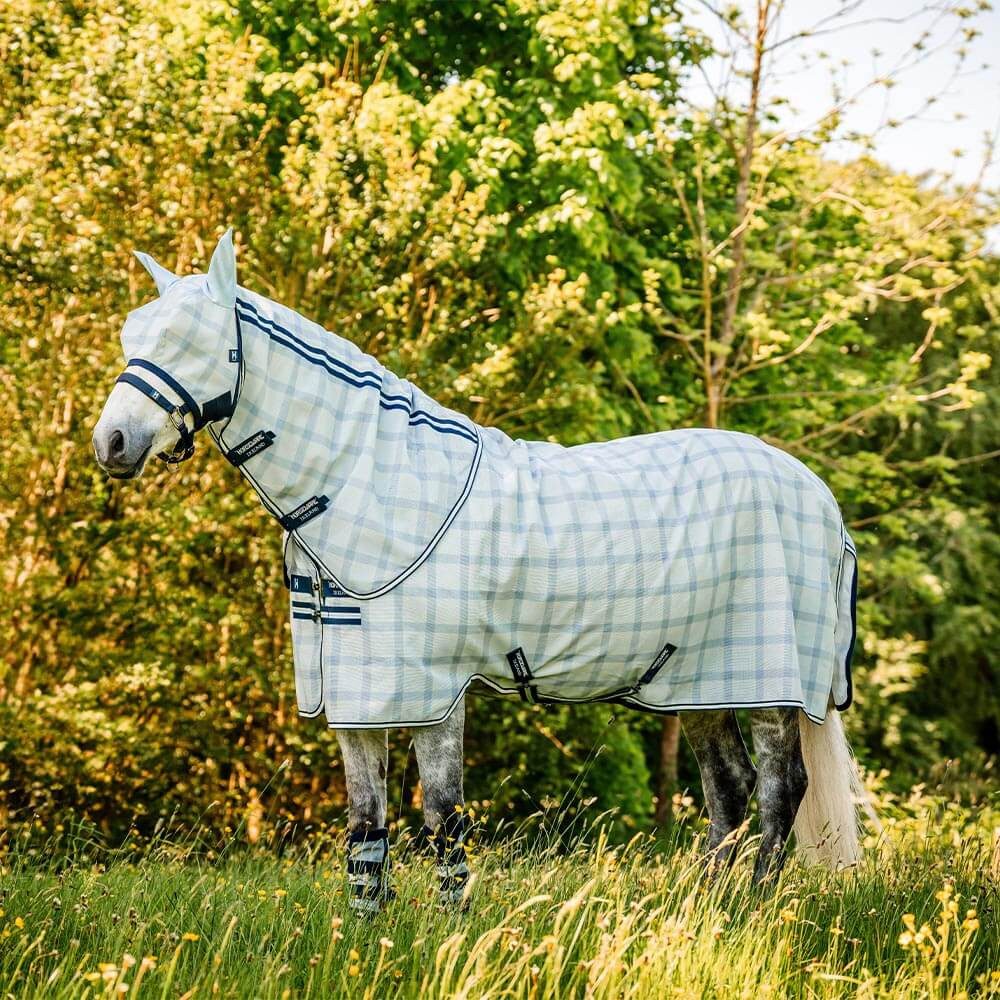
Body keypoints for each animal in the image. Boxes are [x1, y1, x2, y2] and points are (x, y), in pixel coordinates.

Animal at [93, 230, 873, 912]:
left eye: (191, 338)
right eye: (133, 334)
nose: (112, 443)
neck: (376, 481)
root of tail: (818, 497)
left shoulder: (433, 691)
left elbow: (443, 819)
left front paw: (450, 930)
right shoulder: (359, 695)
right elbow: (366, 826)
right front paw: (363, 936)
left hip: (770, 684)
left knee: (778, 792)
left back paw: (749, 914)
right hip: (698, 681)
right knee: (730, 789)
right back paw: (700, 912)